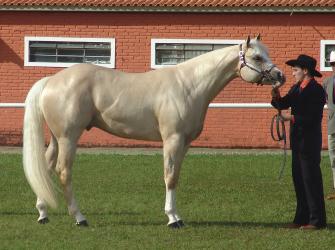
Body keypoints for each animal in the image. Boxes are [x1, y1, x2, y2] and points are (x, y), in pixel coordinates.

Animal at [23, 35, 286, 229]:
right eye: (257, 56)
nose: (280, 76)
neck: (189, 85)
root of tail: (52, 80)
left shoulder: (185, 143)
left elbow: (176, 175)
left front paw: (176, 216)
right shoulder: (172, 139)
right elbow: (169, 177)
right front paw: (172, 219)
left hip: (56, 138)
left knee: (46, 165)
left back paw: (43, 213)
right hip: (69, 137)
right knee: (63, 172)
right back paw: (80, 218)